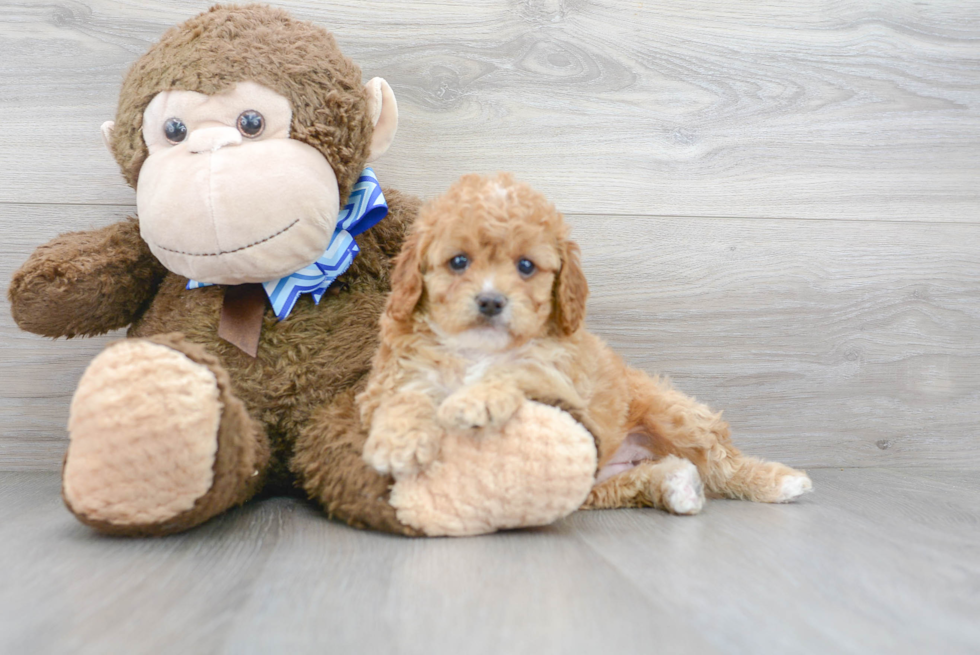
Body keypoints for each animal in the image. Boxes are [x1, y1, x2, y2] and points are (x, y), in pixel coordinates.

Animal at [360, 176, 812, 516]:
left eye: (526, 266)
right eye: (458, 261)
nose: (490, 302)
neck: (477, 349)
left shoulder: (564, 379)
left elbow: (518, 369)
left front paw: (476, 400)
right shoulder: (391, 376)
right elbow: (406, 394)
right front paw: (399, 441)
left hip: (673, 413)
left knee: (721, 462)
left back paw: (778, 481)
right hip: (599, 483)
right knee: (646, 479)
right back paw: (678, 486)